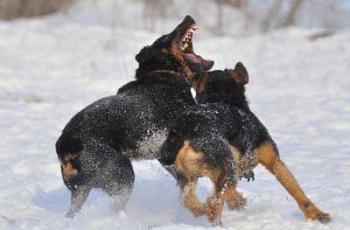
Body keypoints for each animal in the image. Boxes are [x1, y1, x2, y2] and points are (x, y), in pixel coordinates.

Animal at [55, 16, 213, 217]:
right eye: (167, 36)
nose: (187, 17)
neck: (165, 74)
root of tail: (64, 146)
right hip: (122, 173)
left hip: (82, 190)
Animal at [160, 62, 332, 224]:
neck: (224, 98)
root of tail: (182, 132)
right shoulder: (274, 161)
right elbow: (296, 190)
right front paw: (318, 215)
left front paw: (236, 201)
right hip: (228, 168)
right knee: (214, 203)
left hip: (189, 176)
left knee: (190, 199)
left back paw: (204, 209)